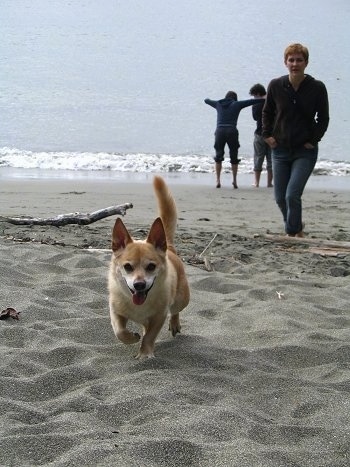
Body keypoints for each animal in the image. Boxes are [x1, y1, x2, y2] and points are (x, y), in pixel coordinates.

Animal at [108, 176, 190, 358]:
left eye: (151, 266)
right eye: (127, 267)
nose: (139, 284)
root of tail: (169, 247)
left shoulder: (159, 317)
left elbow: (150, 336)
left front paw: (145, 354)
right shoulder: (115, 312)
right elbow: (119, 331)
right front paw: (132, 338)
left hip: (181, 300)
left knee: (175, 311)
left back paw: (175, 324)